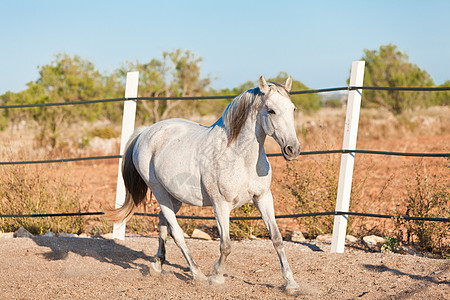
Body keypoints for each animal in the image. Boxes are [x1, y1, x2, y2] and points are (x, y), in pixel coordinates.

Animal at [107, 75, 300, 292]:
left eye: (293, 108)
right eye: (271, 110)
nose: (293, 149)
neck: (240, 157)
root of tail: (145, 132)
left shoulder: (263, 198)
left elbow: (277, 239)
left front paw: (291, 284)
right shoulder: (220, 206)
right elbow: (226, 245)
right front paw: (216, 277)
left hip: (174, 197)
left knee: (163, 224)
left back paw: (157, 265)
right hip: (159, 192)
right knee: (176, 232)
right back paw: (197, 274)